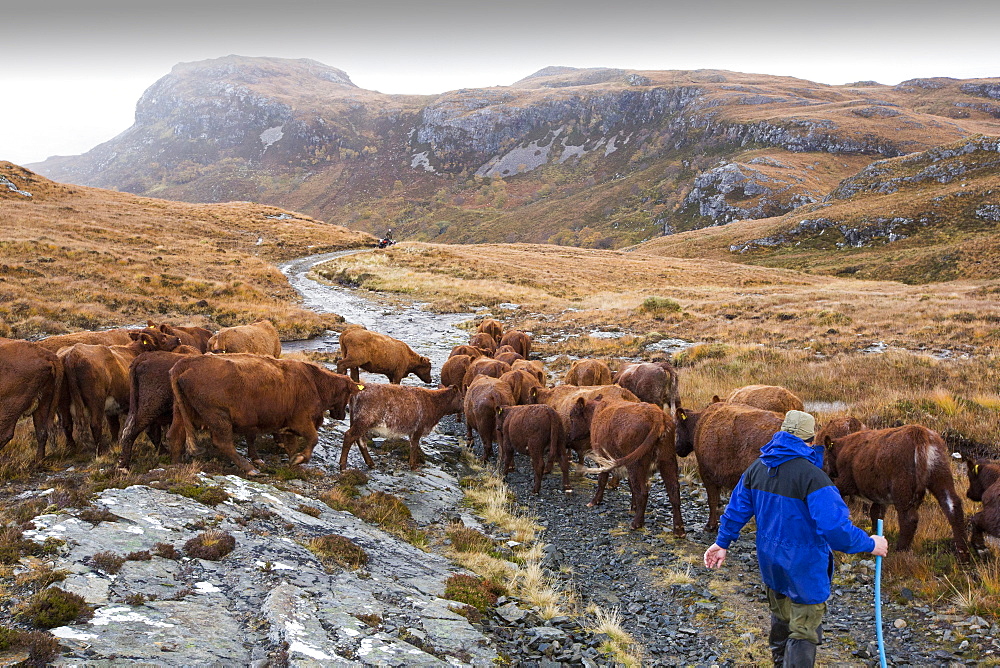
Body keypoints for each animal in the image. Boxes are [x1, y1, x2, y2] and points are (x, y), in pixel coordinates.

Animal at [170, 354, 362, 474]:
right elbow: (313, 439)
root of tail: (187, 362)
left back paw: (176, 463)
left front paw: (293, 463)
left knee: (175, 435)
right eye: (348, 394)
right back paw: (250, 469)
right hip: (218, 417)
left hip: (181, 412)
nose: (342, 415)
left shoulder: (285, 425)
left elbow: (289, 445)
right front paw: (300, 459)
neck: (314, 382)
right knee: (223, 443)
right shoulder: (301, 420)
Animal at [576, 396, 684, 536]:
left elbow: (602, 480)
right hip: (667, 461)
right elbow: (631, 485)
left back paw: (636, 523)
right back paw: (679, 529)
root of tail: (657, 416)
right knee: (673, 491)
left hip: (636, 464)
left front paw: (595, 501)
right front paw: (633, 507)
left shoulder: (602, 456)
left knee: (643, 492)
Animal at [676, 402, 784, 532]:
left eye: (676, 426)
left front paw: (710, 526)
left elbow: (712, 501)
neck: (699, 425)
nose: (677, 448)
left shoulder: (706, 473)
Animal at [820, 426, 968, 560]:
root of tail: (919, 433)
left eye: (825, 456)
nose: (824, 471)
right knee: (953, 506)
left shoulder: (846, 481)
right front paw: (875, 533)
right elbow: (876, 513)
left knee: (909, 518)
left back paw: (900, 549)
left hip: (902, 486)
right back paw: (962, 554)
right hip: (940, 474)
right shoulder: (879, 495)